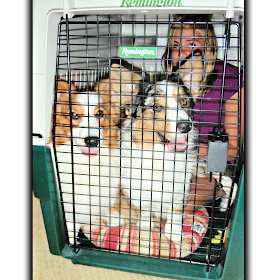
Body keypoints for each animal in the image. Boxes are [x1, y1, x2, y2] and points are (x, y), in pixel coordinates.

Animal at [52, 13, 241, 266]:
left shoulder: (179, 188)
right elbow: (141, 214)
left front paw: (173, 234)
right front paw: (144, 230)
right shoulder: (135, 190)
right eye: (156, 107)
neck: (159, 157)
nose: (186, 126)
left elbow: (175, 213)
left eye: (183, 102)